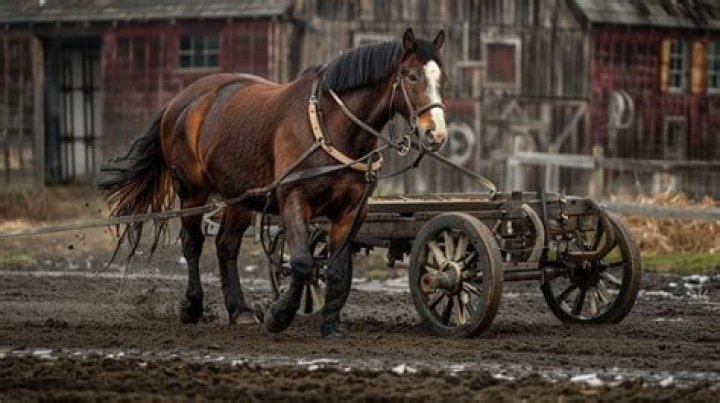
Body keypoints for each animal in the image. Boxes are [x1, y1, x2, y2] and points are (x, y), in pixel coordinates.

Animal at [98, 28, 448, 337]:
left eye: (440, 79)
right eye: (412, 76)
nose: (436, 133)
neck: (330, 126)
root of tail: (180, 101)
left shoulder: (351, 211)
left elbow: (337, 270)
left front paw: (331, 325)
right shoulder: (293, 199)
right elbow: (303, 263)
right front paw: (279, 314)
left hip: (239, 196)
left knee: (226, 245)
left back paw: (238, 310)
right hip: (192, 190)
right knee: (193, 243)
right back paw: (192, 306)